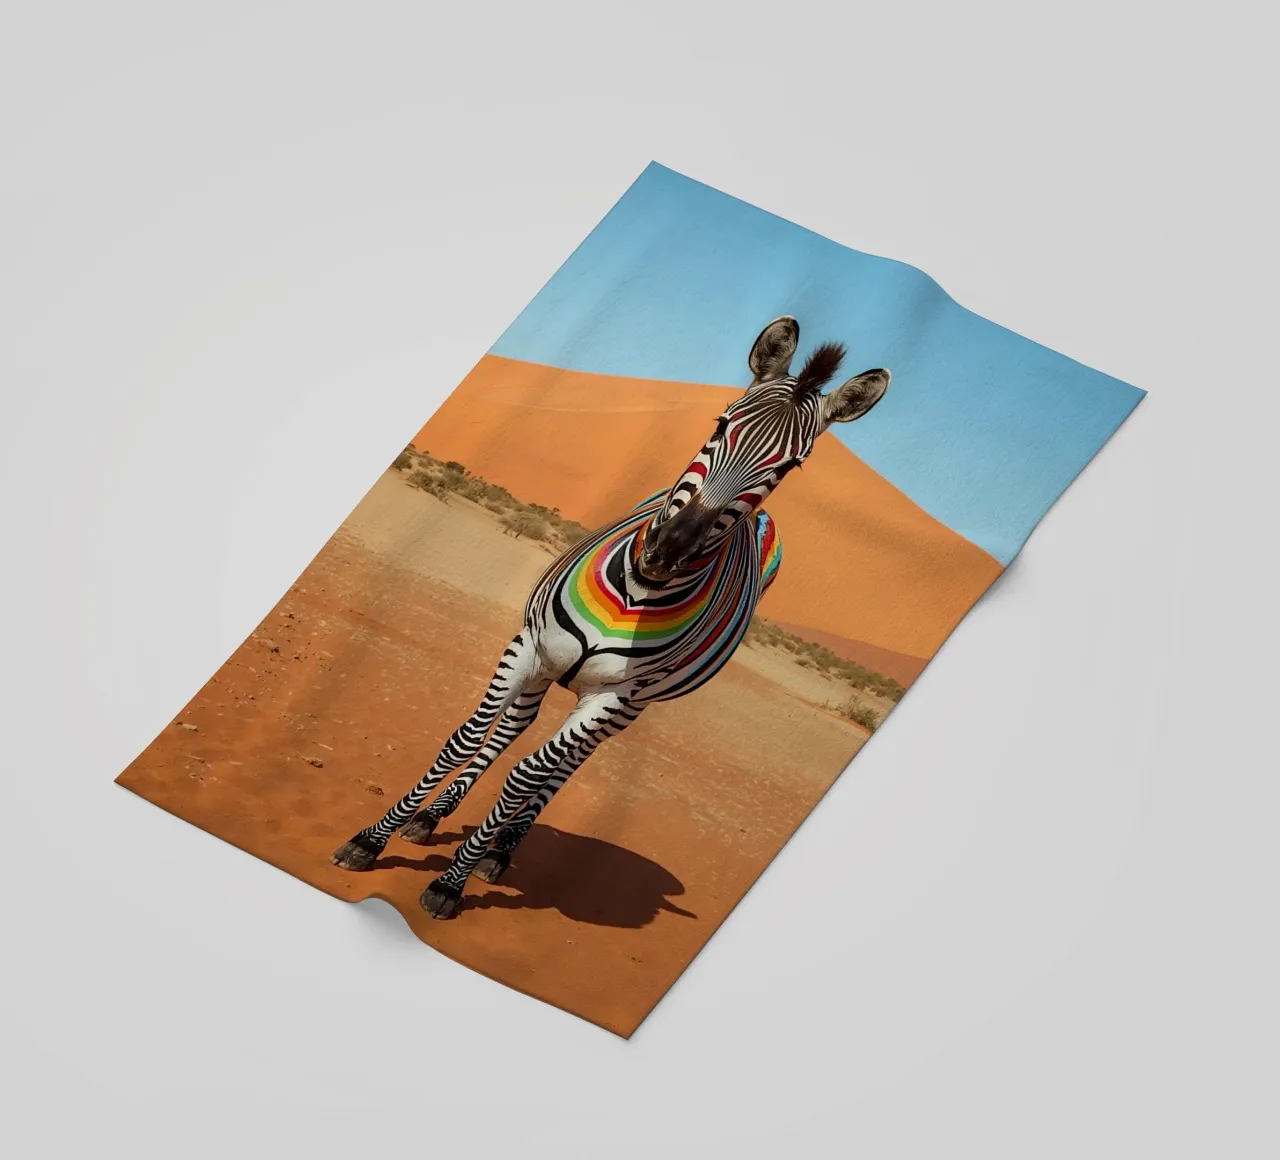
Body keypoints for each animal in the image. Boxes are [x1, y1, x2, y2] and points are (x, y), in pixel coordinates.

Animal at [332, 316, 890, 919]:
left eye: (789, 467)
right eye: (720, 424)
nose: (666, 552)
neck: (636, 593)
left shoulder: (614, 696)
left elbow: (527, 776)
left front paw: (450, 882)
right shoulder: (529, 644)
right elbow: (468, 737)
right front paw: (371, 839)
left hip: (630, 709)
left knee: (566, 764)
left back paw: (498, 852)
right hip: (549, 668)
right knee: (512, 728)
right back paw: (432, 818)